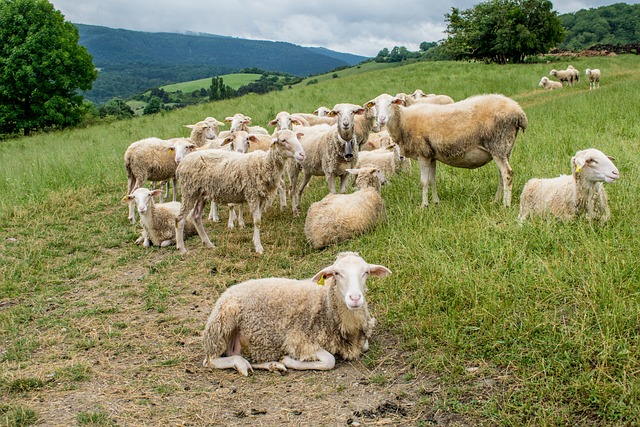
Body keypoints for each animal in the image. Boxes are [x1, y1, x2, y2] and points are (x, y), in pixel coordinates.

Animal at [175, 128, 304, 254]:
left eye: (296, 137)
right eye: (283, 140)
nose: (302, 154)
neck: (264, 164)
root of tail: (181, 163)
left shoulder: (260, 198)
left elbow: (258, 220)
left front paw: (255, 241)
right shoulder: (252, 195)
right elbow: (257, 221)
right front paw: (258, 247)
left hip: (201, 193)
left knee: (195, 216)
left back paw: (208, 244)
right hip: (189, 191)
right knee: (180, 219)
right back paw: (182, 249)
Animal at [202, 252, 392, 376]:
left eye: (366, 272)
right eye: (337, 273)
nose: (355, 298)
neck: (325, 305)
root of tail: (229, 290)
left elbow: (365, 346)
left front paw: (283, 361)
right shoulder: (298, 340)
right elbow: (329, 360)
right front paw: (289, 360)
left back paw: (272, 365)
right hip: (221, 325)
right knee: (211, 360)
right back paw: (242, 364)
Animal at [368, 93, 528, 208]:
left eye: (391, 102)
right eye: (374, 104)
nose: (381, 119)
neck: (403, 121)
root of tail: (519, 112)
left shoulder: (422, 154)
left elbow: (423, 182)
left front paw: (423, 206)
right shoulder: (431, 155)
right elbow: (432, 180)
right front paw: (436, 202)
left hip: (497, 145)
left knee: (507, 174)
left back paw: (505, 205)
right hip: (505, 148)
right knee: (502, 174)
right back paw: (496, 201)